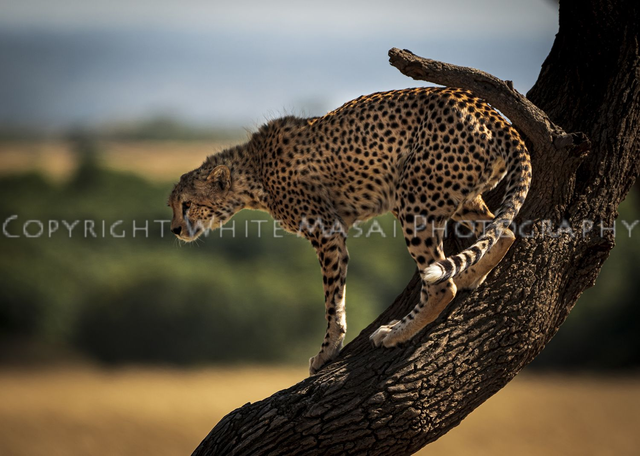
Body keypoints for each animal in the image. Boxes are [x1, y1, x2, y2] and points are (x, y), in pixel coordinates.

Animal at [168, 87, 531, 375]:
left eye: (186, 204)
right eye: (171, 204)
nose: (174, 229)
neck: (253, 172)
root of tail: (488, 111)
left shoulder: (326, 231)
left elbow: (332, 300)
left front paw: (327, 352)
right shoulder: (333, 230)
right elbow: (336, 296)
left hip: (412, 198)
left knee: (442, 286)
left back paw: (396, 332)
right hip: (457, 196)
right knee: (503, 233)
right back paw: (469, 275)